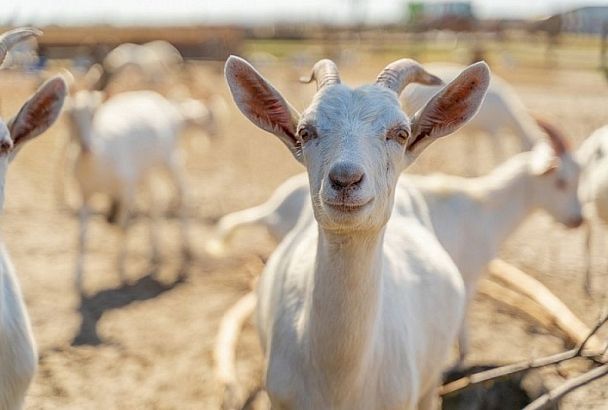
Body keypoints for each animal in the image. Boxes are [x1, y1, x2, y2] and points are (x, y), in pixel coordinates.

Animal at [65, 89, 191, 292]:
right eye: (70, 115)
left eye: (94, 113)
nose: (86, 147)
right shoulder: (85, 194)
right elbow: (82, 236)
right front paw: (78, 280)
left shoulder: (127, 191)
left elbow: (123, 226)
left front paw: (121, 271)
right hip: (146, 171)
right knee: (157, 198)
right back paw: (155, 254)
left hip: (170, 158)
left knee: (183, 191)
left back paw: (186, 254)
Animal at [211, 117, 580, 364]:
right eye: (561, 181)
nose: (577, 219)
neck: (486, 206)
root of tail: (271, 208)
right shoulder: (470, 273)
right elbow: (462, 318)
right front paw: (461, 357)